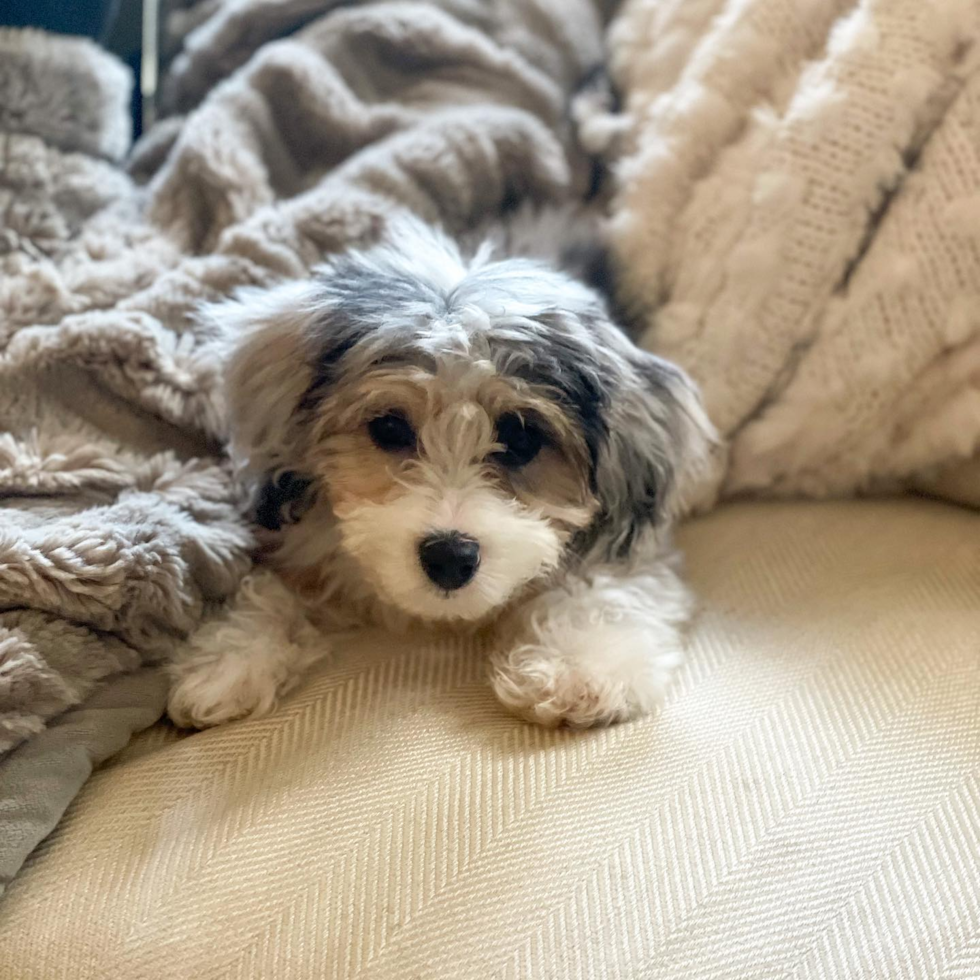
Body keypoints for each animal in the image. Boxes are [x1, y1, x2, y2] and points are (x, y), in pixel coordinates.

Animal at [168, 211, 716, 728]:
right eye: (389, 427)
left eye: (522, 438)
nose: (450, 557)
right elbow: (274, 589)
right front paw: (231, 659)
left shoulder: (631, 546)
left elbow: (605, 589)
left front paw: (575, 666)